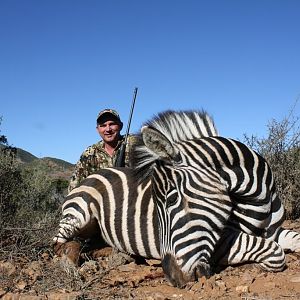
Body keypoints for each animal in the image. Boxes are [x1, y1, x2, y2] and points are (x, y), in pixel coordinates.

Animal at [52, 109, 300, 286]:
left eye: (171, 200)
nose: (173, 279)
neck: (260, 201)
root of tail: (94, 174)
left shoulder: (274, 229)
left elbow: (293, 240)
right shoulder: (221, 242)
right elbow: (274, 252)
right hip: (78, 214)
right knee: (60, 245)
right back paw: (72, 266)